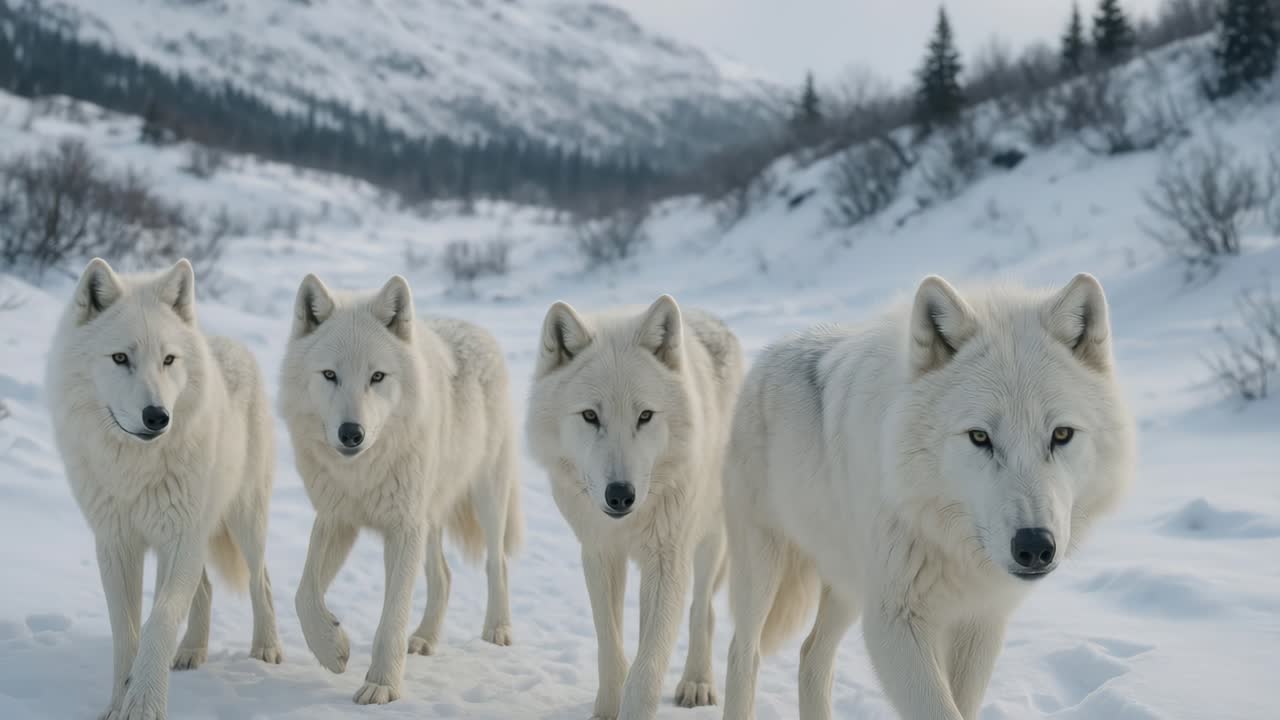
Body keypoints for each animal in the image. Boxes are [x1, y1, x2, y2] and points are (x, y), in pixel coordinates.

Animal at [45, 258, 282, 720]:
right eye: (120, 358)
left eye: (169, 359)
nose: (157, 416)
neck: (136, 469)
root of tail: (226, 342)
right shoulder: (117, 544)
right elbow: (127, 631)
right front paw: (118, 702)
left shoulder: (179, 539)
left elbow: (160, 619)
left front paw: (144, 703)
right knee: (206, 589)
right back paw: (191, 652)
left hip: (244, 520)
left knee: (260, 580)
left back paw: (266, 649)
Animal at [280, 273, 522, 705]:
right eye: (329, 375)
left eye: (377, 377)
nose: (351, 433)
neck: (361, 472)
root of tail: (475, 327)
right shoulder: (337, 519)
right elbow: (304, 593)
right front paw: (332, 647)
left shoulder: (403, 528)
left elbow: (392, 615)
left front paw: (381, 684)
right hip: (429, 517)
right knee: (444, 576)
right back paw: (425, 638)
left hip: (487, 497)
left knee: (498, 562)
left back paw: (497, 629)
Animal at [527, 295, 744, 720]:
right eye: (590, 416)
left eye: (645, 416)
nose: (620, 495)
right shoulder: (598, 552)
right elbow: (610, 645)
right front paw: (607, 709)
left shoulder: (667, 559)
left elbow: (647, 668)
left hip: (710, 537)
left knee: (702, 609)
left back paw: (697, 681)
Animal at [720, 274, 1135, 720]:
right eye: (979, 437)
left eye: (1061, 434)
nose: (1035, 547)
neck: (953, 546)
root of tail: (773, 350)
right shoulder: (894, 624)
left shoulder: (980, 620)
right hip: (764, 571)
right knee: (742, 653)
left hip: (848, 587)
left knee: (811, 654)